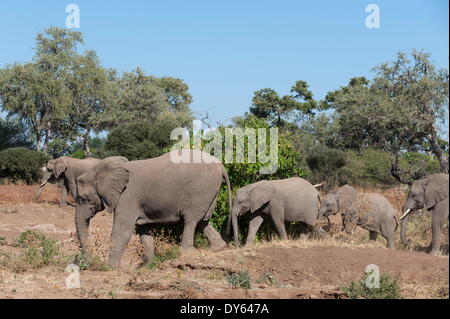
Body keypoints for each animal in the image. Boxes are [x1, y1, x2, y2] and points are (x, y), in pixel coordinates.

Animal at [74, 151, 232, 270]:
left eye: (84, 198)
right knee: (203, 220)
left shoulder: (128, 197)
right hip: (210, 190)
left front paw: (110, 269)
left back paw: (184, 253)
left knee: (191, 219)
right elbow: (145, 231)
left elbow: (122, 230)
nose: (91, 263)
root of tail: (221, 165)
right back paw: (218, 248)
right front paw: (148, 266)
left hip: (201, 188)